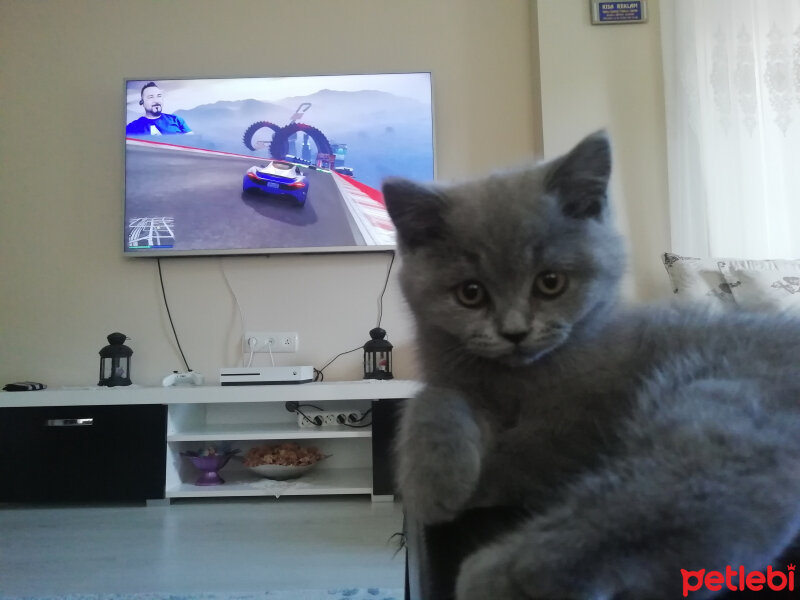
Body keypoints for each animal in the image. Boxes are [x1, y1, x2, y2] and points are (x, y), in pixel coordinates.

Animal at [380, 131, 800, 600]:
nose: (514, 332)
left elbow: (522, 454)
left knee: (668, 504)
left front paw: (454, 487)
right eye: (470, 293)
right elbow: (434, 397)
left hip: (729, 407)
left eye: (550, 283)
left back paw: (498, 576)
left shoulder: (578, 424)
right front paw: (433, 475)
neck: (519, 382)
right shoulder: (458, 376)